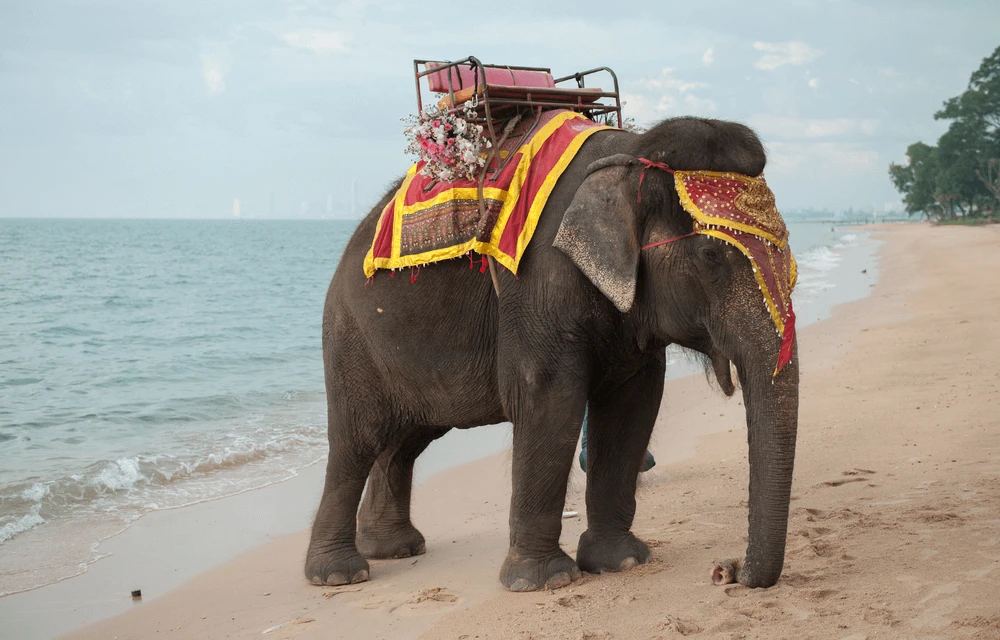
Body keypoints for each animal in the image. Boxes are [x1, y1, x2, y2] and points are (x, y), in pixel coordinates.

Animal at [305, 116, 799, 592]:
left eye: (793, 267)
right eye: (711, 254)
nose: (728, 571)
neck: (631, 151)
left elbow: (632, 406)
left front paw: (620, 562)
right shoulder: (539, 282)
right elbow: (549, 400)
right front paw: (544, 580)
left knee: (405, 439)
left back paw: (394, 549)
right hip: (351, 336)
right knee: (359, 439)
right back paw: (338, 574)